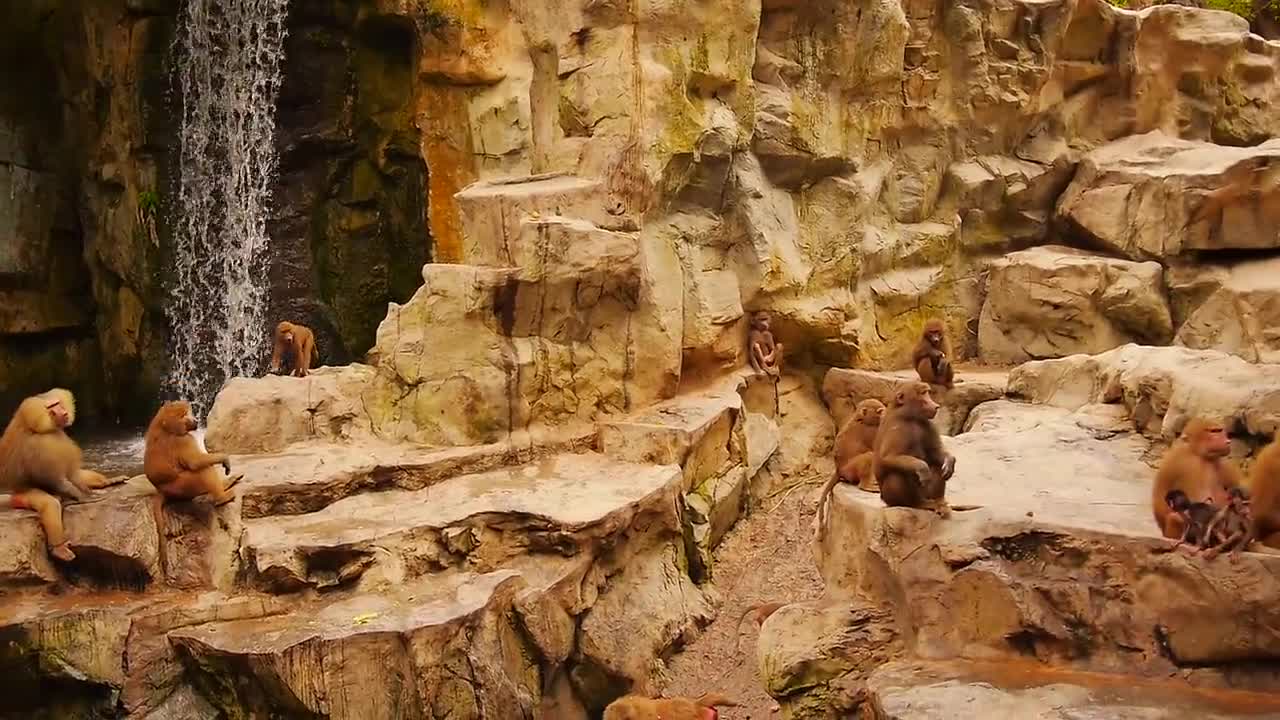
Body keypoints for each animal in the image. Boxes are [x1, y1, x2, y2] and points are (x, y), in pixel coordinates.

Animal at [0, 389, 127, 561]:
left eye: (57, 403)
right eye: (51, 407)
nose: (64, 413)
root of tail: (13, 494)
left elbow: (73, 473)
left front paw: (88, 491)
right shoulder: (40, 446)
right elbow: (53, 478)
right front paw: (82, 496)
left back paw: (108, 481)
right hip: (24, 495)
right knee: (50, 504)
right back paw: (60, 548)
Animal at [874, 382, 956, 517]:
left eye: (927, 392)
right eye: (922, 393)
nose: (936, 406)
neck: (910, 417)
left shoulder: (928, 424)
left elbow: (935, 452)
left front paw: (950, 462)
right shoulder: (897, 428)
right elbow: (889, 457)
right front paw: (922, 468)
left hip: (926, 494)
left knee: (937, 466)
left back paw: (940, 503)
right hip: (889, 498)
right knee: (896, 475)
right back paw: (915, 504)